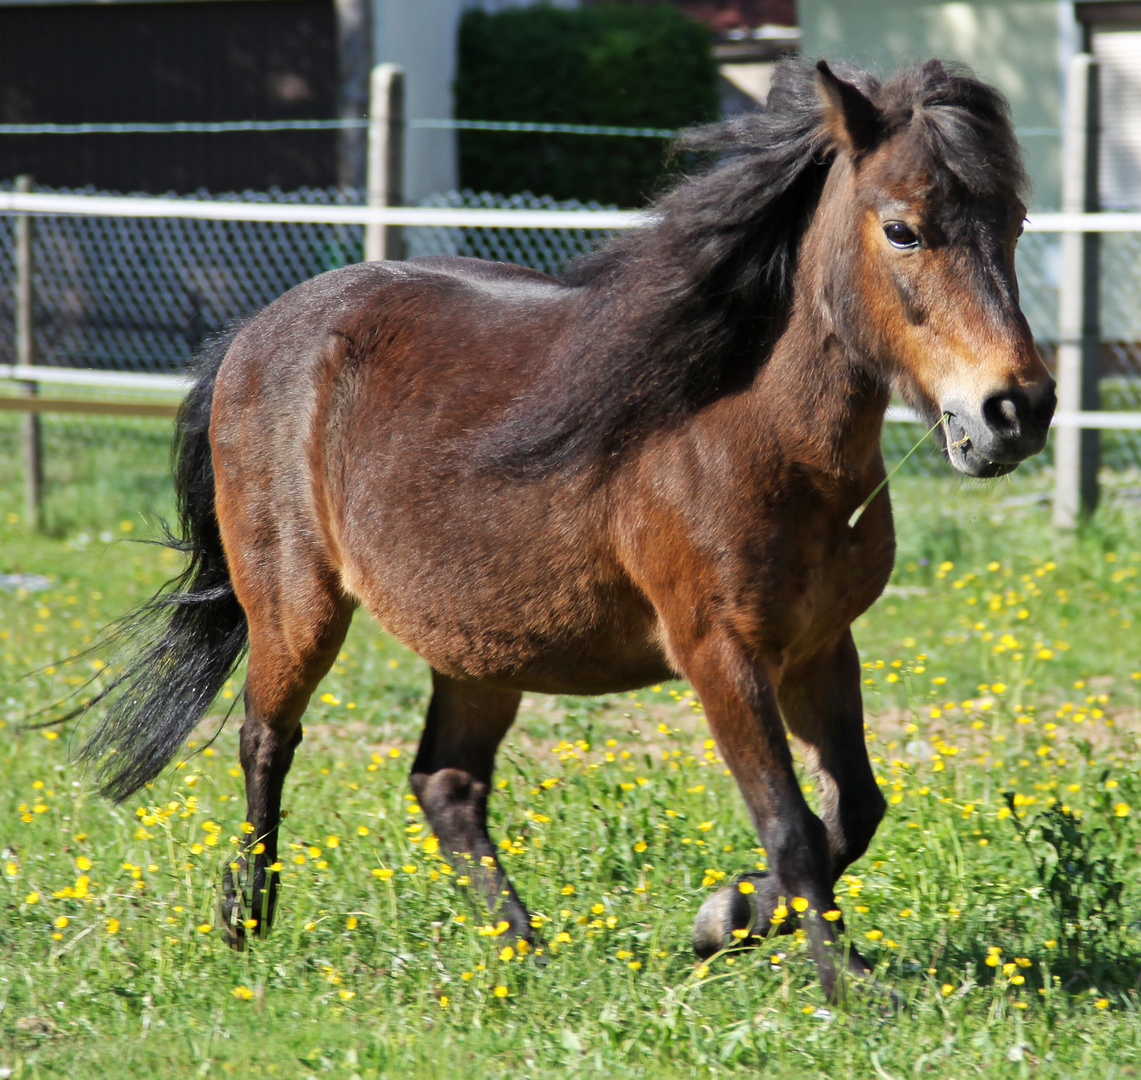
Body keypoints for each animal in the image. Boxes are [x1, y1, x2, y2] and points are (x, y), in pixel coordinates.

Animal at [69, 61, 1049, 1003]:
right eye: (903, 230)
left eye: (1014, 221)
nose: (1016, 411)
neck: (748, 430)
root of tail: (254, 332)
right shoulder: (719, 652)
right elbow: (793, 825)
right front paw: (844, 983)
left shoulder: (818, 647)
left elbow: (855, 809)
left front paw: (726, 916)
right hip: (296, 606)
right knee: (267, 741)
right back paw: (247, 918)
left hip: (478, 645)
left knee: (446, 783)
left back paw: (522, 948)